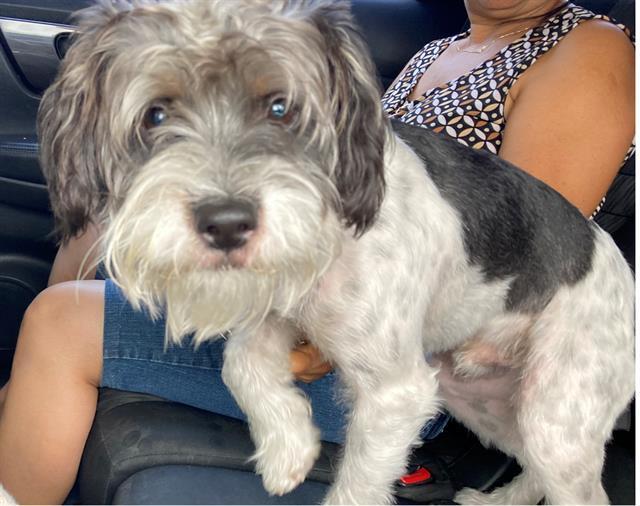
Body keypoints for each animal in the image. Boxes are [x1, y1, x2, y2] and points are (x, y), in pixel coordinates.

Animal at [40, 0, 636, 502]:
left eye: (281, 108)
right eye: (156, 115)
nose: (226, 224)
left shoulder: (397, 394)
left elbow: (358, 483)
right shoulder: (277, 312)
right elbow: (240, 364)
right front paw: (289, 448)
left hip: (557, 412)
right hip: (486, 399)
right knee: (532, 469)